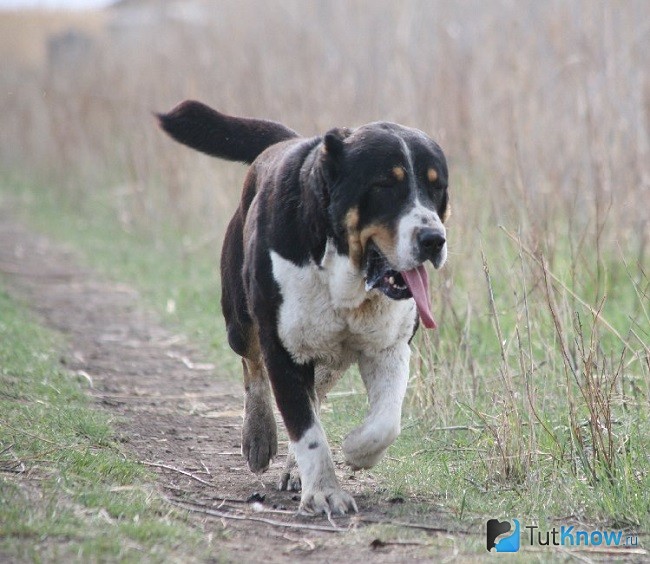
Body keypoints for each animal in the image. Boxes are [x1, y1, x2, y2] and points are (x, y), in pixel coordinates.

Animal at [159, 101, 448, 516]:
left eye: (436, 187)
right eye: (384, 185)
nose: (434, 238)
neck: (343, 274)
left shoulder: (390, 344)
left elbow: (385, 422)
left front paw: (356, 450)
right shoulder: (282, 346)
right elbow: (304, 426)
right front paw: (325, 491)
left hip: (330, 353)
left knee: (318, 391)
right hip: (241, 321)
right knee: (253, 368)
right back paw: (259, 435)